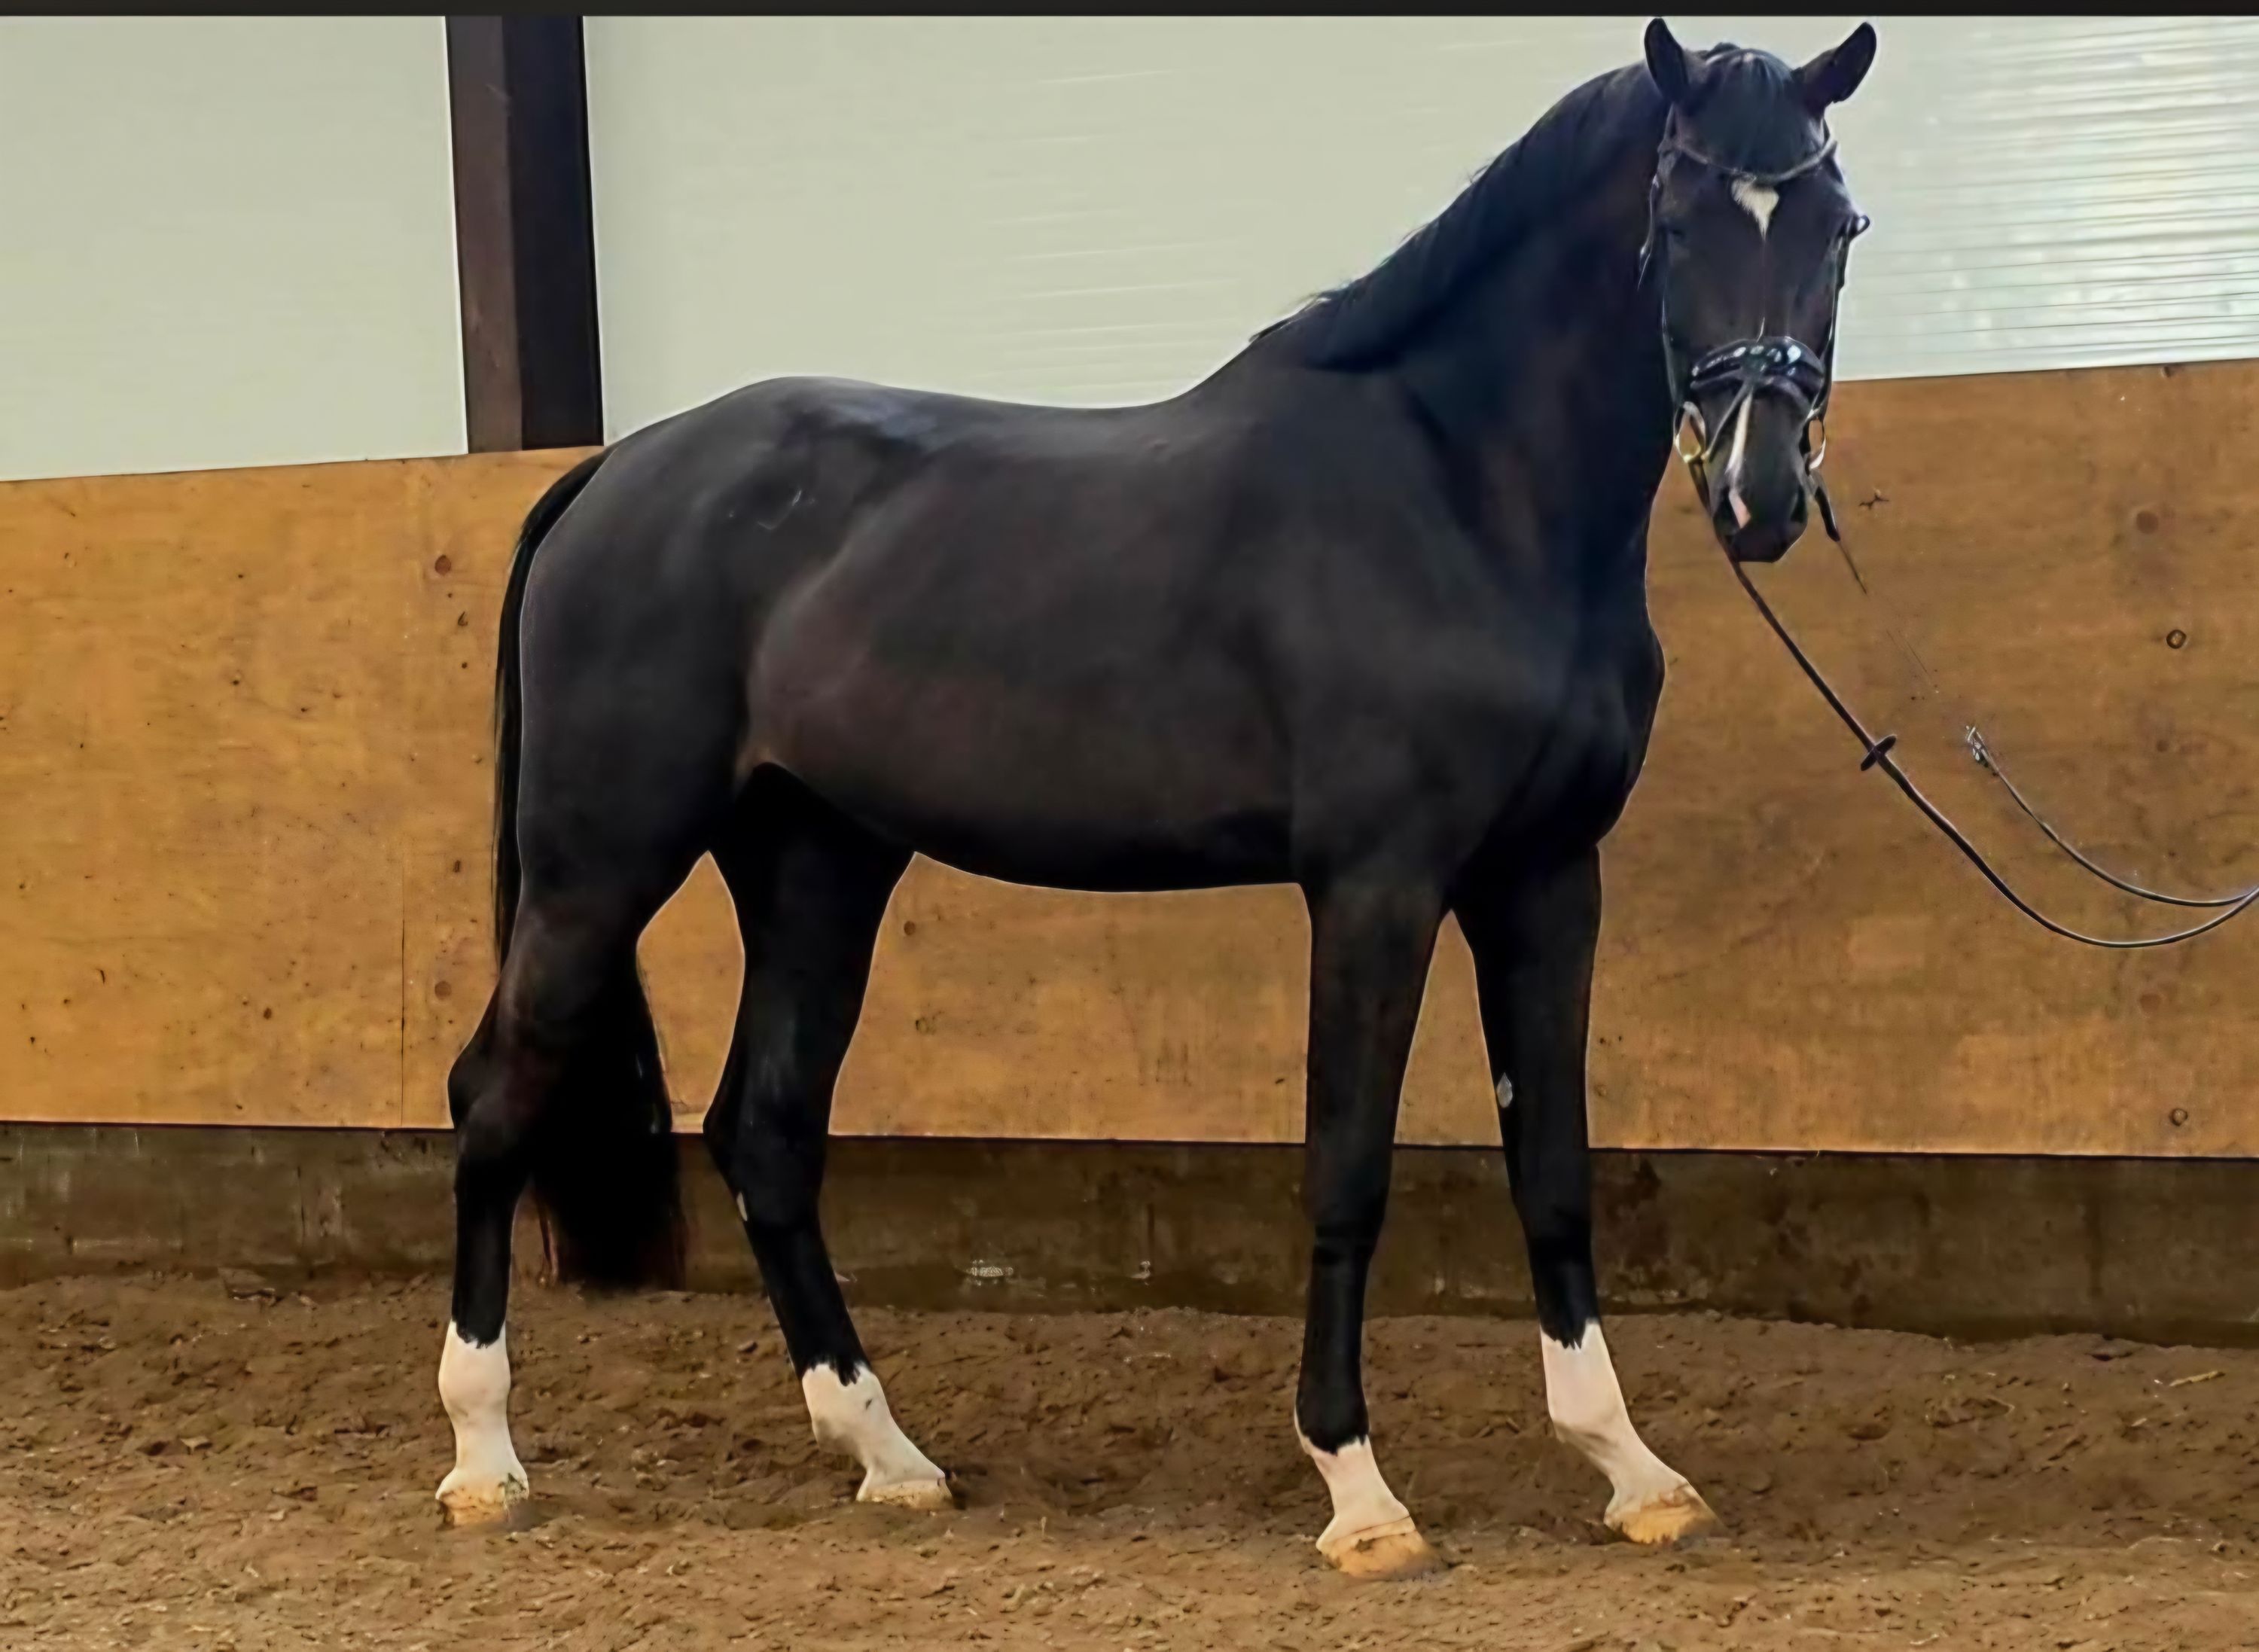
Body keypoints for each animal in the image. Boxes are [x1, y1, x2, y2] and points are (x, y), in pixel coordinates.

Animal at [434, 18, 1878, 1577]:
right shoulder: (1377, 883)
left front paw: (1633, 1469)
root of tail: (610, 474)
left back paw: (890, 1455)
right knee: (498, 1091)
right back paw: (484, 1457)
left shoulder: (1547, 878)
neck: (1461, 497)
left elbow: (1552, 1166)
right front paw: (1360, 1490)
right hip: (602, 859)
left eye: (1835, 222)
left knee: (765, 1127)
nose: (1761, 490)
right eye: (1676, 218)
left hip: (819, 861)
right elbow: (1348, 1165)